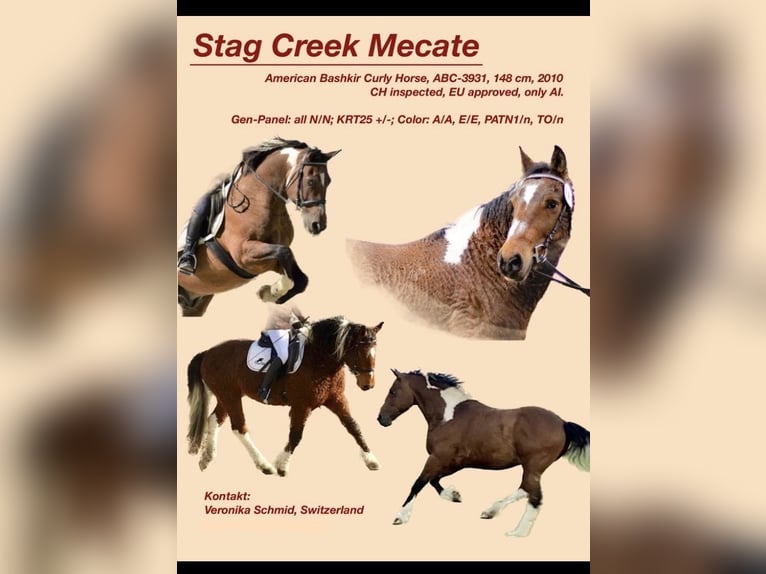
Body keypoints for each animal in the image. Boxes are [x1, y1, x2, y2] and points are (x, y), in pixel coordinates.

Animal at [178, 137, 341, 317]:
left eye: (329, 181)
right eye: (310, 181)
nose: (318, 224)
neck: (257, 199)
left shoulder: (269, 260)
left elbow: (300, 278)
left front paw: (270, 294)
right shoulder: (243, 255)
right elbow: (285, 253)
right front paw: (274, 290)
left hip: (196, 302)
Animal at [186, 315, 384, 476]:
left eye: (375, 349)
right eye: (359, 350)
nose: (368, 384)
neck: (319, 359)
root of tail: (208, 353)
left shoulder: (336, 399)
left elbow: (353, 427)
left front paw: (371, 459)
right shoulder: (302, 405)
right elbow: (296, 435)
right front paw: (282, 465)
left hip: (227, 395)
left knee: (214, 419)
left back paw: (207, 458)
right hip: (230, 397)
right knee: (239, 427)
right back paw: (264, 465)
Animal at [377, 369, 590, 537]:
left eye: (393, 391)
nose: (381, 418)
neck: (448, 415)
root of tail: (563, 423)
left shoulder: (437, 458)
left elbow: (418, 483)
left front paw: (400, 517)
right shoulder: (454, 462)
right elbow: (433, 481)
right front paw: (454, 495)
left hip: (533, 465)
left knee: (534, 496)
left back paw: (516, 532)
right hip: (532, 468)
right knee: (526, 490)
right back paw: (491, 512)